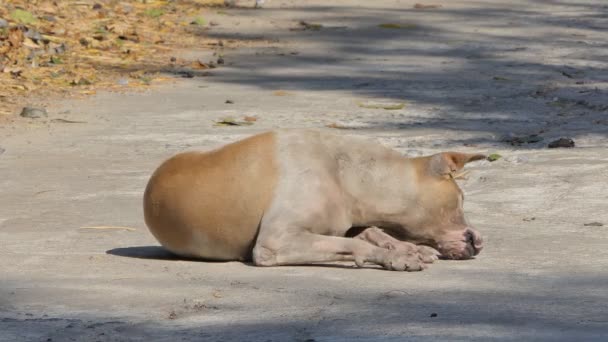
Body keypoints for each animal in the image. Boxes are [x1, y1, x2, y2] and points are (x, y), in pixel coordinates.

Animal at [144, 130, 484, 272]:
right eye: (460, 200)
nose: (478, 242)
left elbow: (367, 233)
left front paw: (404, 247)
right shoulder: (275, 243)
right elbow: (355, 242)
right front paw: (395, 256)